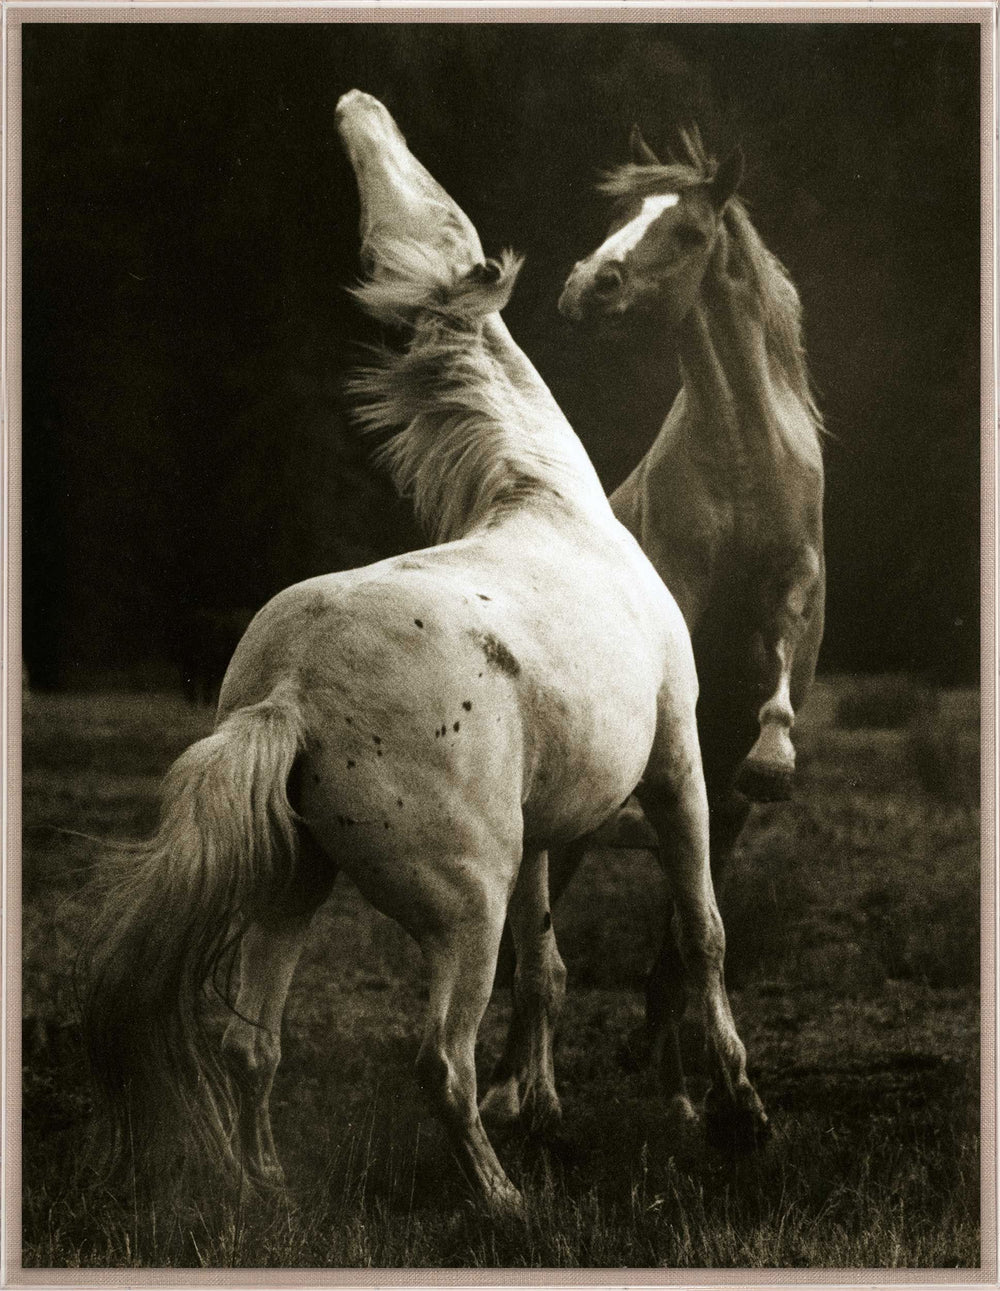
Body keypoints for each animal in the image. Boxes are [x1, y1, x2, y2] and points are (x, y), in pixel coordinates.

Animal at [83, 92, 766, 1214]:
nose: (357, 108)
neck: (551, 498)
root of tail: (292, 693)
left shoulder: (543, 830)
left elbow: (548, 963)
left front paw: (548, 1108)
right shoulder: (676, 763)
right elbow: (703, 932)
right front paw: (739, 1111)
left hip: (293, 885)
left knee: (250, 1043)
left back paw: (269, 1188)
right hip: (460, 904)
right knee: (437, 1057)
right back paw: (505, 1203)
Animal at [487, 124, 824, 1115]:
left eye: (687, 230)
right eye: (622, 216)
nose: (583, 285)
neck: (745, 463)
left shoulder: (795, 583)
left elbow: (780, 661)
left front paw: (775, 757)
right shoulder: (675, 589)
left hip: (708, 814)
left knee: (673, 934)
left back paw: (679, 1089)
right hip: (574, 821)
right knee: (531, 935)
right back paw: (518, 1081)